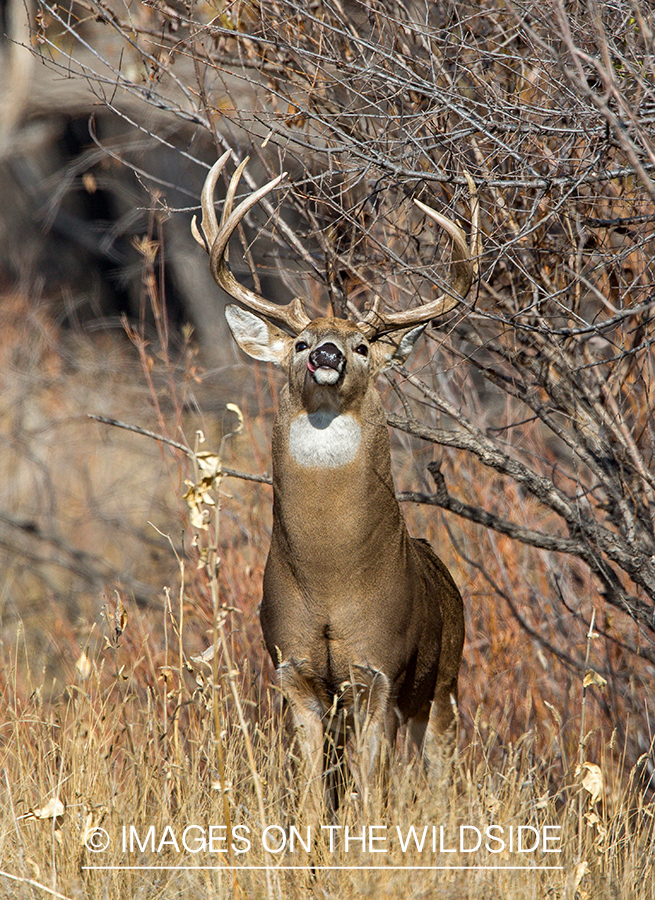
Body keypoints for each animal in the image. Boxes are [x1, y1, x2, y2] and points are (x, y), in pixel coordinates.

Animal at [191, 151, 476, 812]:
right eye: (298, 341)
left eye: (365, 344)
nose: (327, 353)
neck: (330, 578)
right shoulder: (292, 669)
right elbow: (311, 795)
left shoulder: (380, 669)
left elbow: (371, 791)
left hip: (444, 681)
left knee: (438, 767)